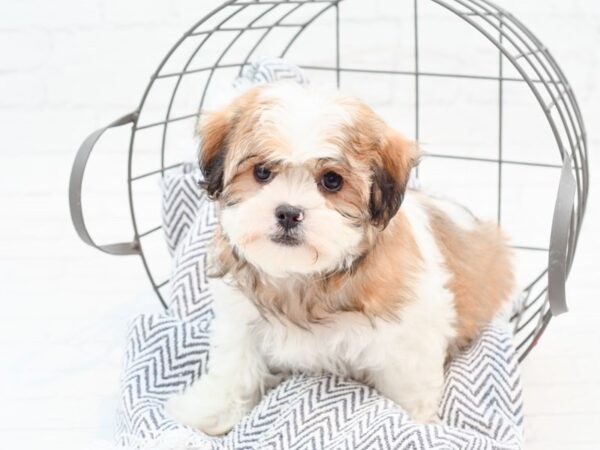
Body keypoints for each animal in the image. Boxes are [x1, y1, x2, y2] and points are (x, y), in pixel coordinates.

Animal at [166, 82, 512, 434]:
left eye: (332, 181)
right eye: (262, 172)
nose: (288, 212)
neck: (304, 278)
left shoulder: (408, 337)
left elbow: (408, 388)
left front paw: (410, 426)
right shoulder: (242, 320)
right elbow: (235, 367)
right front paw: (212, 411)